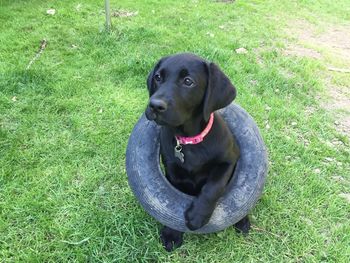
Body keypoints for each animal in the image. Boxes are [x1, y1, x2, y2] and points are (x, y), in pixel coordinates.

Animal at [145, 53, 252, 252]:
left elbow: (213, 186)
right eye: (158, 77)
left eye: (188, 81)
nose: (154, 105)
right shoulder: (172, 172)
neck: (189, 141)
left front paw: (197, 216)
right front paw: (171, 233)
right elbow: (170, 205)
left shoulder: (230, 160)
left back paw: (242, 221)